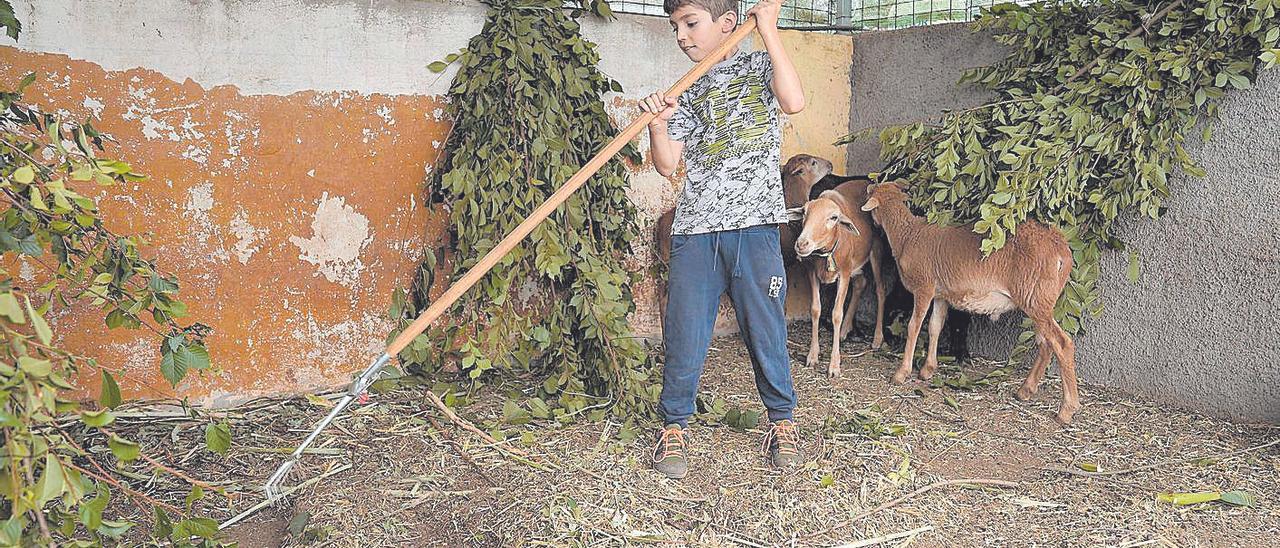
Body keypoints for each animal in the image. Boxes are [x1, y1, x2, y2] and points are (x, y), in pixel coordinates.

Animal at [783, 179, 885, 376]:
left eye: (833, 218)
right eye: (804, 212)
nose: (802, 244)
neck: (826, 253)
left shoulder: (844, 273)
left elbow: (836, 314)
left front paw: (834, 366)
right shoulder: (811, 272)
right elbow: (815, 309)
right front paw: (812, 356)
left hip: (876, 250)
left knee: (880, 290)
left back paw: (877, 338)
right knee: (861, 283)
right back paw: (845, 330)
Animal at [860, 181, 1080, 425]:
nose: (868, 187)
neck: (907, 235)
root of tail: (1061, 251)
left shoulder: (924, 288)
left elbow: (914, 327)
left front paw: (901, 373)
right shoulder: (941, 294)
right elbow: (935, 326)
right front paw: (927, 370)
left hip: (1035, 299)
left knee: (1062, 343)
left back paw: (1066, 410)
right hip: (1042, 300)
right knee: (1046, 343)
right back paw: (1024, 391)